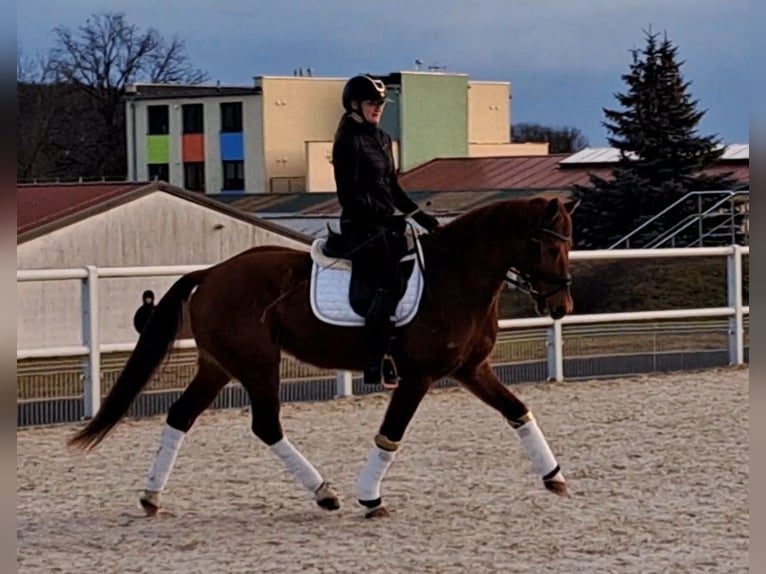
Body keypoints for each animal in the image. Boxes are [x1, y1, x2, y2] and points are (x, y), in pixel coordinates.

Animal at [67, 196, 584, 520]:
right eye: (546, 245)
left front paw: (554, 476)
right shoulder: (418, 376)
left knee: (180, 416)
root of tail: (212, 272)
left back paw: (151, 496)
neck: (455, 275)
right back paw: (325, 493)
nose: (562, 307)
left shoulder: (471, 369)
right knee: (266, 426)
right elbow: (391, 435)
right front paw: (370, 499)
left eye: (569, 244)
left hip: (219, 365)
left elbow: (517, 410)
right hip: (257, 363)